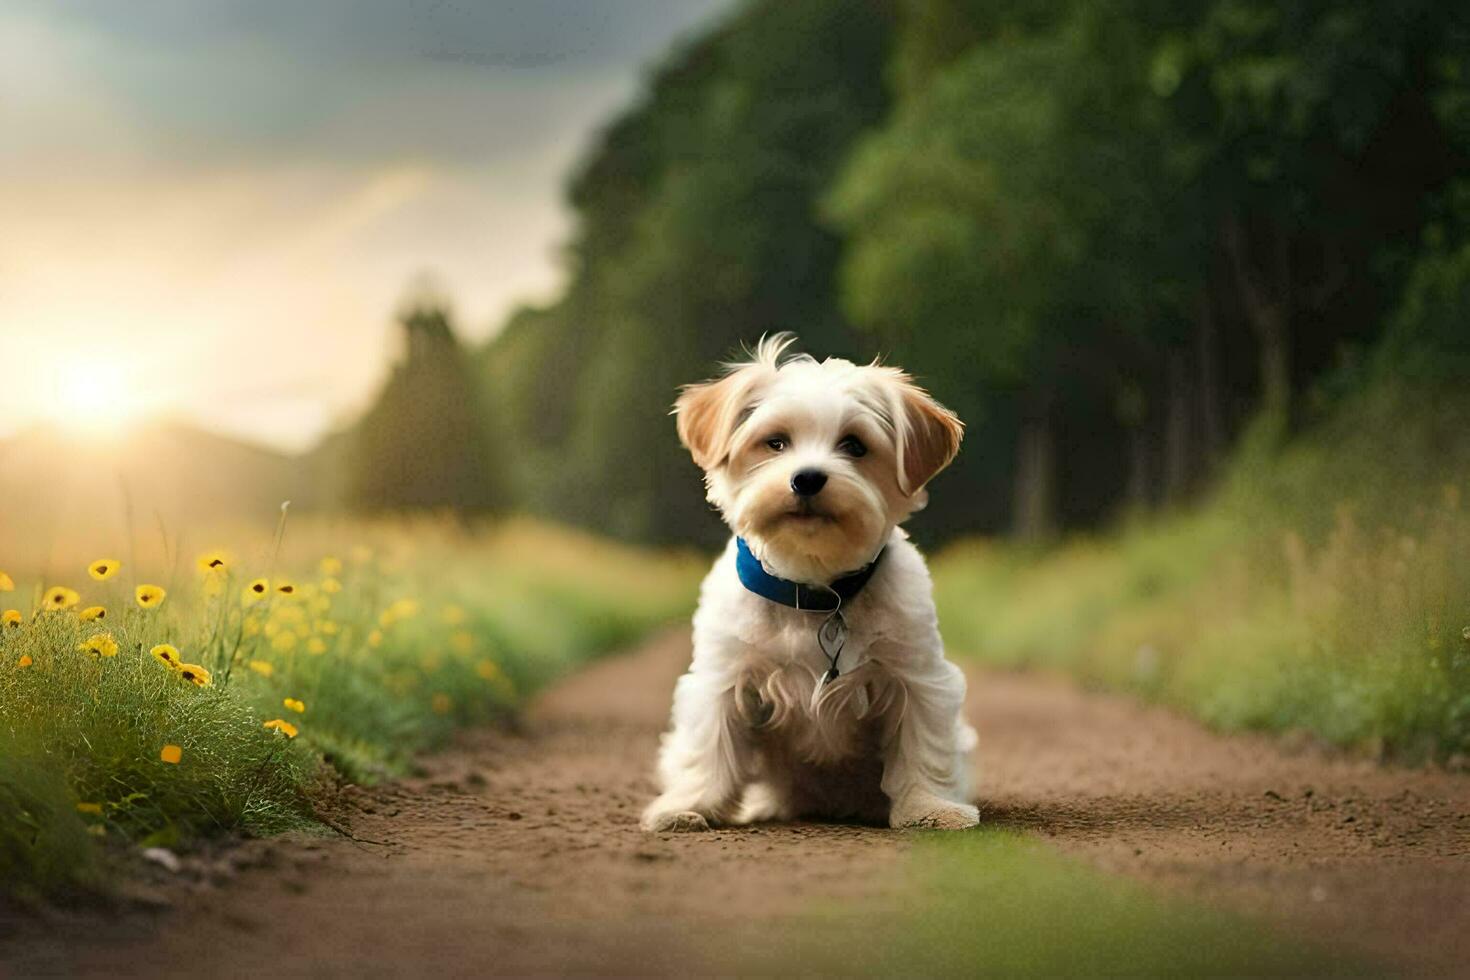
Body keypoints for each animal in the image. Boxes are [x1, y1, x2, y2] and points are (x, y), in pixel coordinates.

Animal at [640, 333, 976, 834]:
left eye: (855, 445)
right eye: (775, 442)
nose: (808, 478)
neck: (815, 593)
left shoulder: (917, 678)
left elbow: (923, 749)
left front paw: (930, 807)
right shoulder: (722, 679)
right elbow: (709, 750)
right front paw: (688, 805)